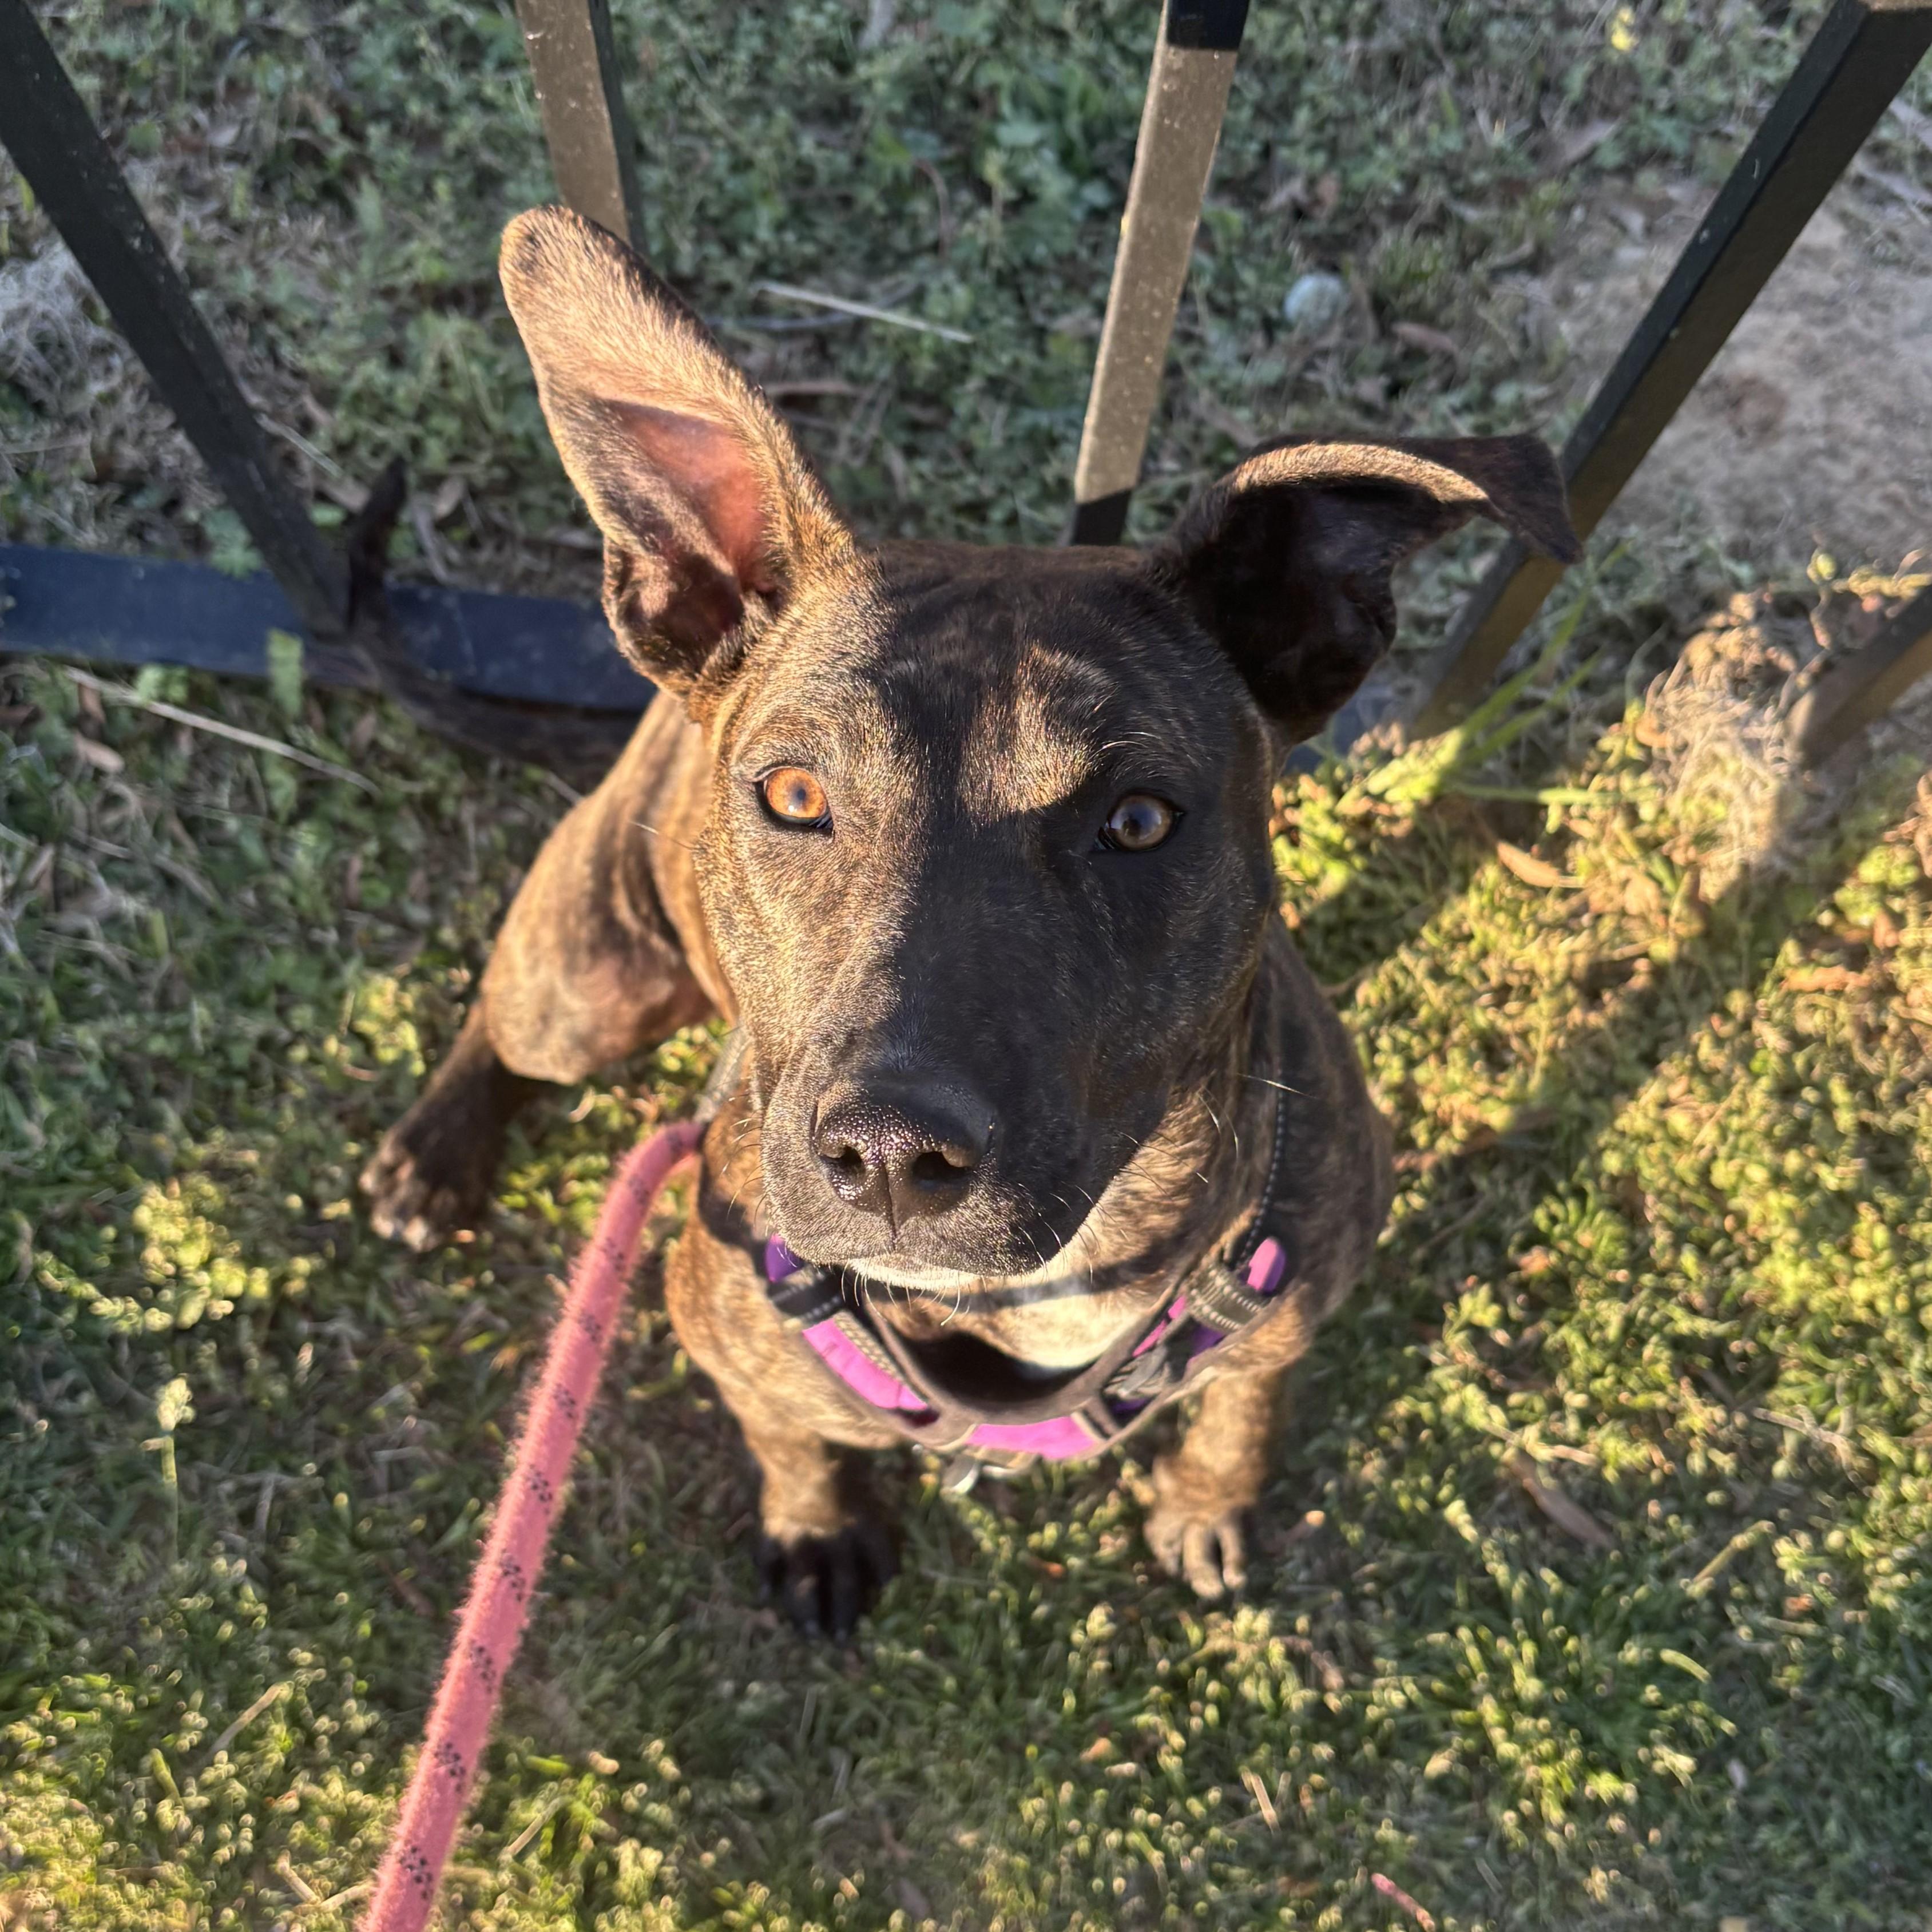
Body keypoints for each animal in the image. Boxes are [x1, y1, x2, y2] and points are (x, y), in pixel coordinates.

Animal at [360, 207, 1579, 1637]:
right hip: (587, 983)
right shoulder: (719, 1325)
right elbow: (787, 1432)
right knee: (504, 1017)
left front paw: (1208, 1495)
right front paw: (815, 1518)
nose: (889, 1153)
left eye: (1137, 820)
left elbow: (1244, 1394)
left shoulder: (1296, 1295)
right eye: (791, 794)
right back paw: (431, 1151)